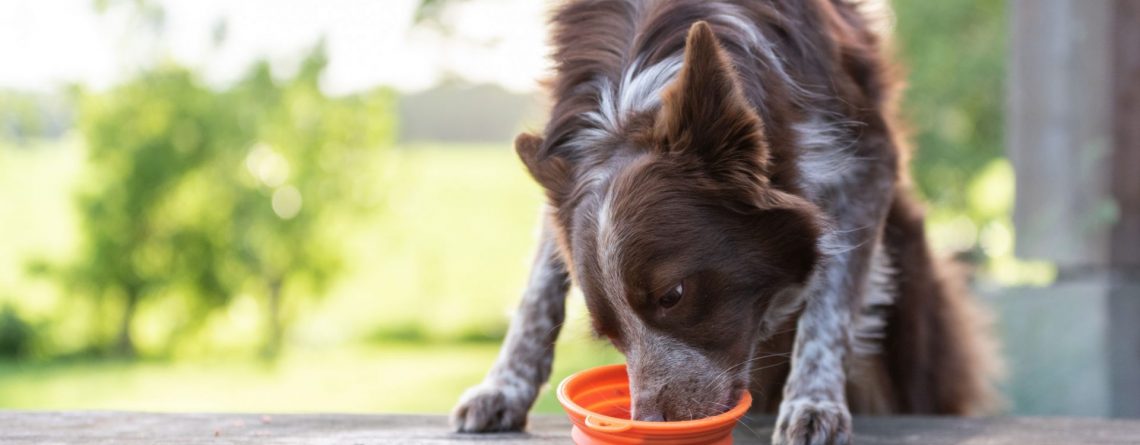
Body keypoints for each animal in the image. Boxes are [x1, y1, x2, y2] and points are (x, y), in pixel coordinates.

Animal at [451, 1, 998, 442]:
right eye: (607, 334)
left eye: (673, 296)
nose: (649, 425)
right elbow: (537, 293)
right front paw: (503, 388)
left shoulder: (862, 158)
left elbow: (830, 305)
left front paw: (813, 404)